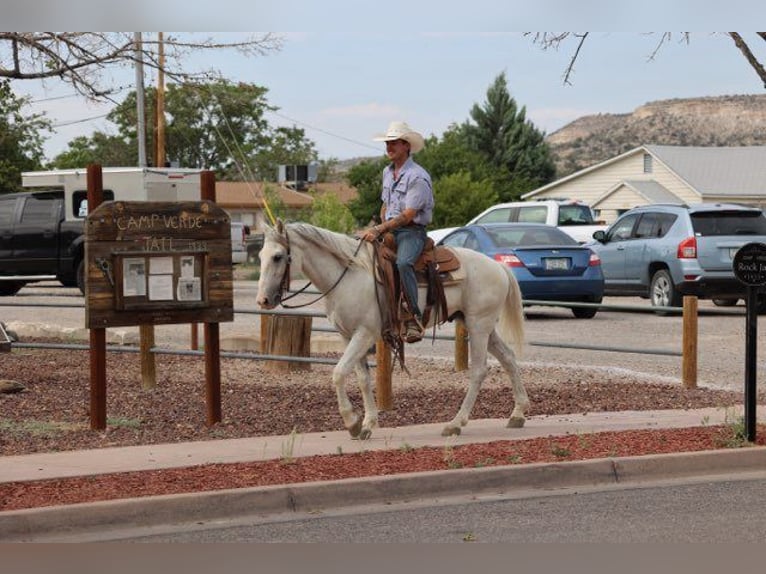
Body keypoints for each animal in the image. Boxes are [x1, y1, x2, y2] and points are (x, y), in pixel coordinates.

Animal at [256, 220, 529, 440]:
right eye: (260, 256)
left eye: (278, 256)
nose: (263, 300)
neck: (347, 275)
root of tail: (498, 267)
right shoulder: (347, 335)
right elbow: (362, 378)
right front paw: (367, 424)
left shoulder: (364, 333)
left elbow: (339, 373)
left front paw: (352, 422)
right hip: (480, 325)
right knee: (508, 358)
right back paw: (518, 414)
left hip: (478, 325)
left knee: (479, 371)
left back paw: (455, 423)